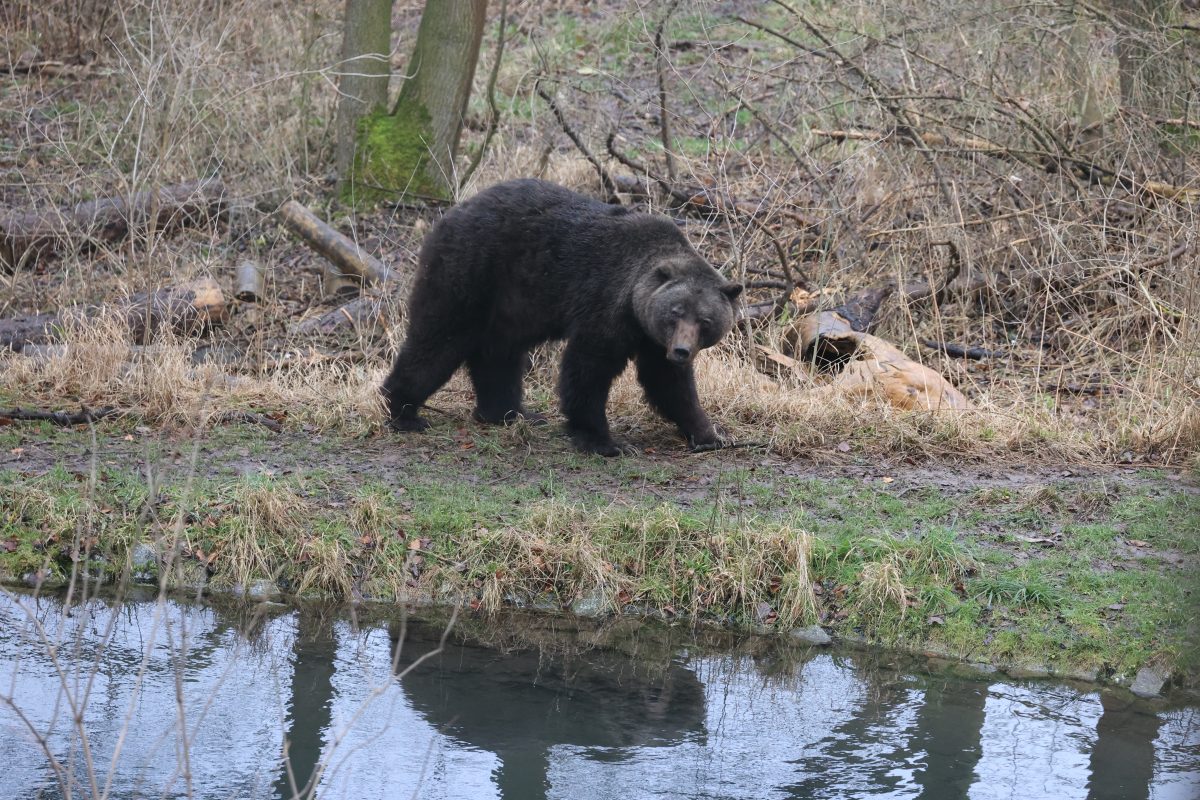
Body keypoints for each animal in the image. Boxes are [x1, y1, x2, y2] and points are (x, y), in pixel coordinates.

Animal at [381, 181, 739, 455]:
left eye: (705, 321)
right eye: (675, 313)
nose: (681, 351)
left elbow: (667, 383)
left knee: (498, 354)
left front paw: (709, 434)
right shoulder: (607, 304)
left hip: (511, 302)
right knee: (439, 339)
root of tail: (451, 212)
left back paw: (508, 412)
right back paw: (404, 410)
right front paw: (604, 441)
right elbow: (588, 369)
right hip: (469, 273)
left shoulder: (650, 337)